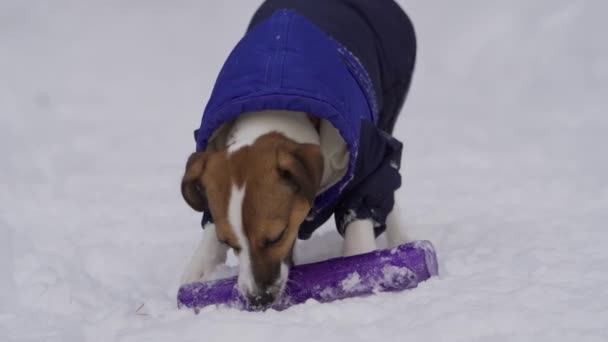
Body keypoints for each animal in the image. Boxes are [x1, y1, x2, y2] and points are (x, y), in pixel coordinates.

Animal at [178, 0, 416, 308]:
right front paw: (196, 274)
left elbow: (364, 214)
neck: (274, 105)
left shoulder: (367, 161)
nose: (258, 299)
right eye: (230, 243)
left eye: (276, 236)